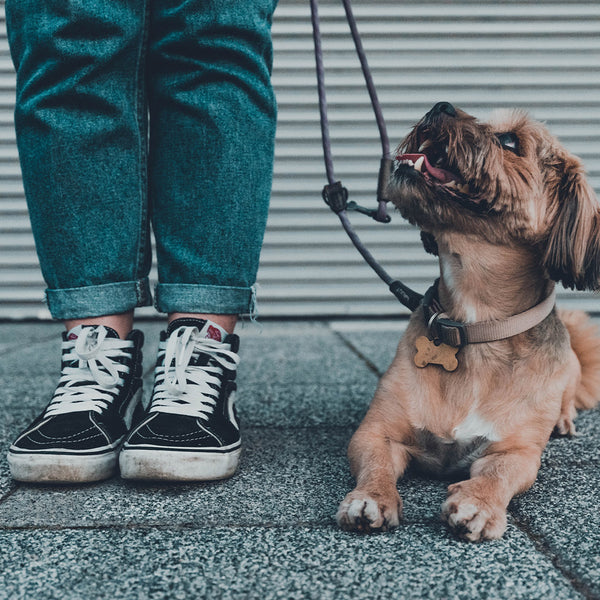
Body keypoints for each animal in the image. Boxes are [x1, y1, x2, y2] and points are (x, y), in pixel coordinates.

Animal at [336, 103, 600, 544]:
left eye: (509, 141)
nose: (439, 106)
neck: (473, 326)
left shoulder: (515, 452)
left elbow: (499, 474)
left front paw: (478, 503)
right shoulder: (376, 433)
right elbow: (376, 465)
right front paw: (371, 497)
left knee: (566, 397)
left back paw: (563, 420)